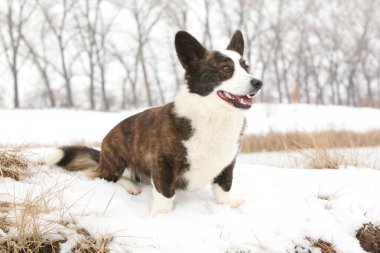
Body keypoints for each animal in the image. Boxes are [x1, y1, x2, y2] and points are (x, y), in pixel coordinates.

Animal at [46, 30, 262, 214]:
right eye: (226, 69)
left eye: (247, 67)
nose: (258, 82)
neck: (213, 116)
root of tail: (101, 156)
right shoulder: (163, 164)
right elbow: (165, 192)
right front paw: (162, 215)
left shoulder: (228, 164)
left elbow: (224, 186)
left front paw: (228, 203)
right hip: (117, 162)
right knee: (105, 177)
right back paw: (130, 186)